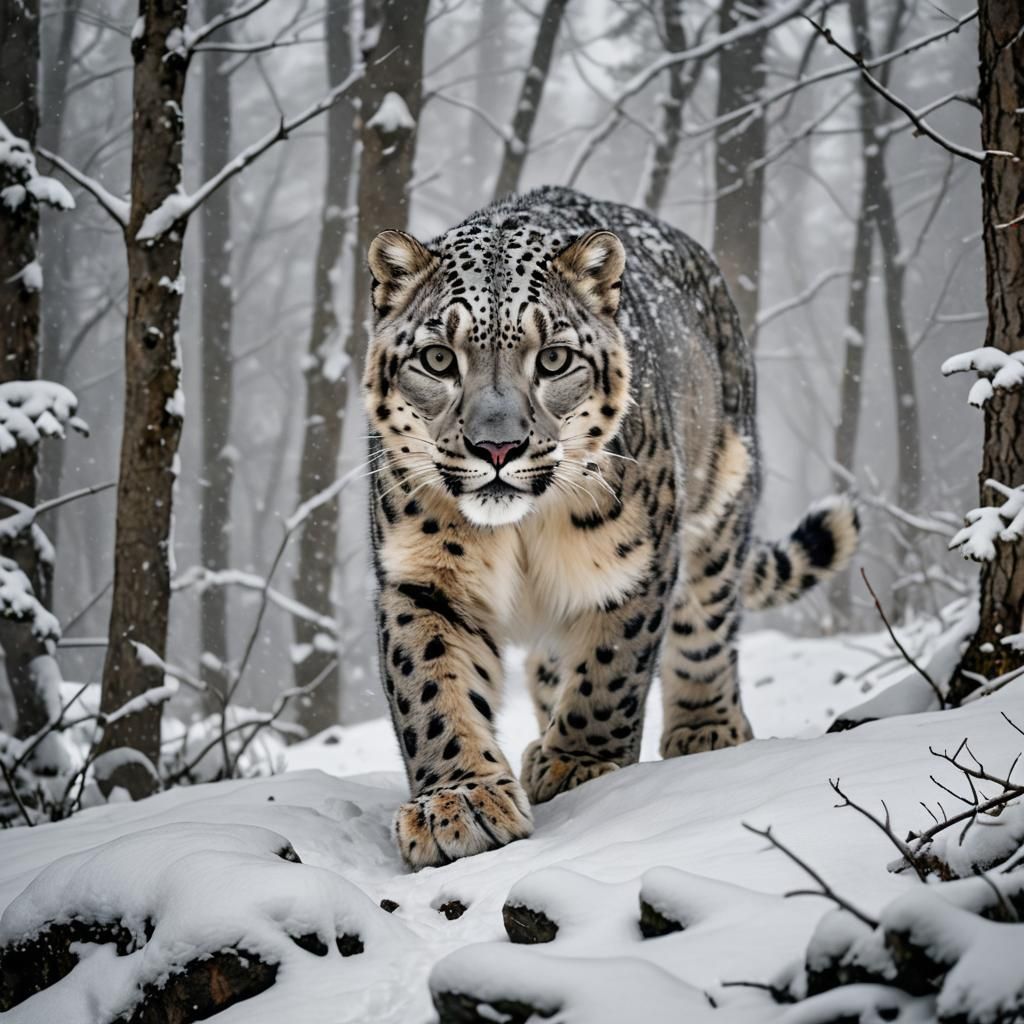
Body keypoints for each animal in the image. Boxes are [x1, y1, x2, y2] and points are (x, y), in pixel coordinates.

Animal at [361, 186, 859, 870]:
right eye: (438, 358)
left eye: (553, 358)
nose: (497, 447)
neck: (520, 534)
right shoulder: (422, 576)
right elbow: (431, 685)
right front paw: (459, 803)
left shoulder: (635, 563)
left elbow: (610, 667)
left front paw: (581, 763)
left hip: (722, 502)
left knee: (706, 622)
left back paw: (706, 727)